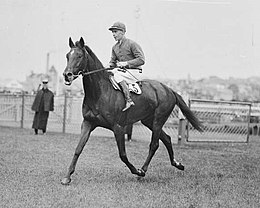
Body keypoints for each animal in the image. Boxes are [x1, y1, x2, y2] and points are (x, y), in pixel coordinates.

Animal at [61, 36, 203, 184]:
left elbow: (122, 154)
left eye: (79, 56)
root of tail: (168, 89)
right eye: (67, 56)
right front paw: (67, 176)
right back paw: (177, 164)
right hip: (148, 121)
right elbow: (78, 149)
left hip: (158, 120)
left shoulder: (118, 127)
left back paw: (143, 170)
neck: (100, 93)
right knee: (167, 139)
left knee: (154, 144)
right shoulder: (88, 123)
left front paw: (136, 171)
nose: (67, 75)